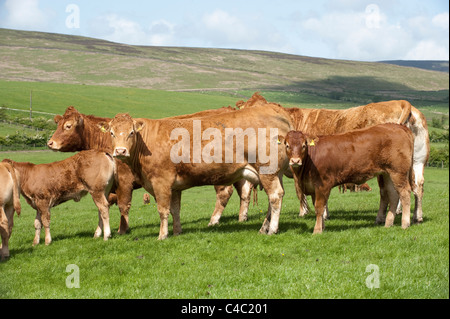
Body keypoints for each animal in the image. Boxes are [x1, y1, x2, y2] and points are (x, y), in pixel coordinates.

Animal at [101, 105, 292, 240]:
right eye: (111, 133)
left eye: (131, 133)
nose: (120, 151)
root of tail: (274, 110)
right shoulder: (174, 187)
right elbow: (175, 210)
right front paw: (177, 232)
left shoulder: (161, 182)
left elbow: (163, 210)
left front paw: (162, 235)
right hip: (275, 173)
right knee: (274, 198)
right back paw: (264, 228)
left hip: (268, 171)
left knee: (275, 196)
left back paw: (271, 229)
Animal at [284, 124, 416, 236]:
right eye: (287, 145)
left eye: (304, 145)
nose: (295, 161)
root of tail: (398, 126)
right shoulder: (313, 188)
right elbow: (320, 208)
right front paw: (322, 226)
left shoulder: (323, 185)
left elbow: (319, 207)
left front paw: (317, 230)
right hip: (387, 173)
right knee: (393, 194)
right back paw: (388, 223)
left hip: (398, 172)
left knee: (405, 193)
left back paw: (405, 223)